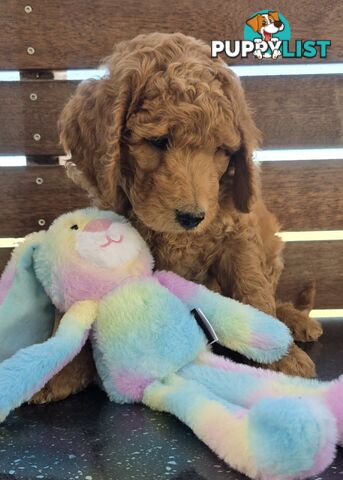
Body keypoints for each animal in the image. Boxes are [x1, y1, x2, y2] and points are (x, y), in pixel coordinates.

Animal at [29, 31, 322, 404]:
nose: (192, 216)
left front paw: (281, 357)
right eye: (157, 141)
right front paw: (59, 370)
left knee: (270, 291)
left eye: (221, 151)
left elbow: (253, 292)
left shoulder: (237, 236)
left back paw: (295, 320)